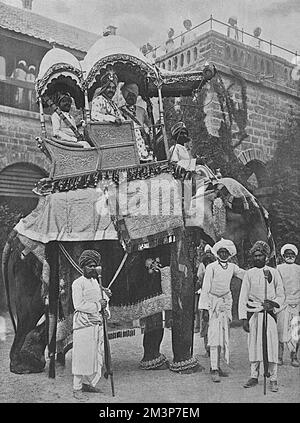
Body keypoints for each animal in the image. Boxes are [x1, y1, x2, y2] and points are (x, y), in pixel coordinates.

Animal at [1, 174, 272, 376]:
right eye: (249, 214)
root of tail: (14, 234)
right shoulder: (179, 239)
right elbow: (182, 295)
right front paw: (188, 368)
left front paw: (155, 364)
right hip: (30, 264)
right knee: (30, 310)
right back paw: (25, 366)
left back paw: (34, 361)